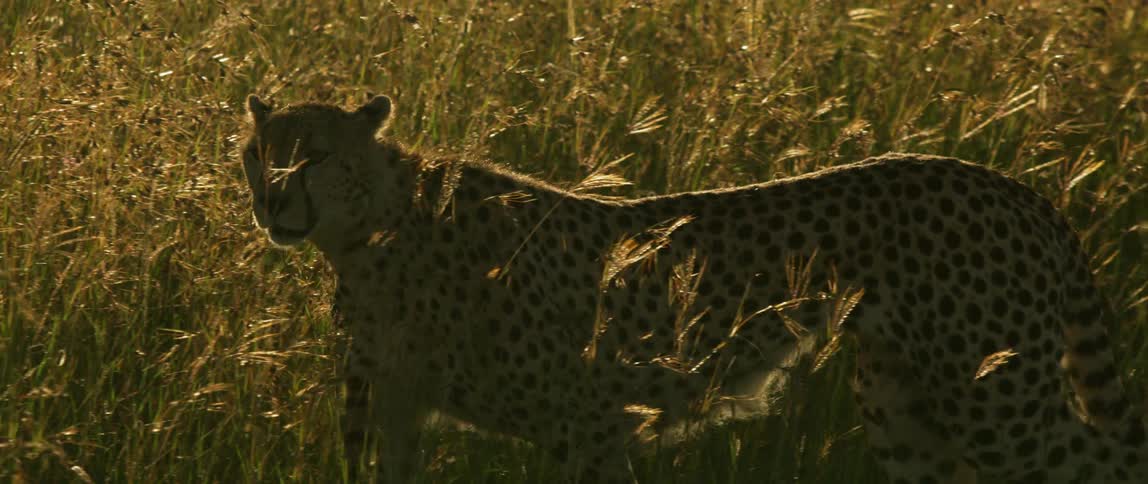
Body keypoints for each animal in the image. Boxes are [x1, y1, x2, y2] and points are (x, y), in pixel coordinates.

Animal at [239, 93, 1146, 483]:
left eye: (313, 154)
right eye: (258, 152)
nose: (271, 200)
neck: (371, 233)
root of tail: (1008, 182)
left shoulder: (589, 419)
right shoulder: (386, 411)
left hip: (994, 402)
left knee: (1109, 460)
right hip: (908, 408)